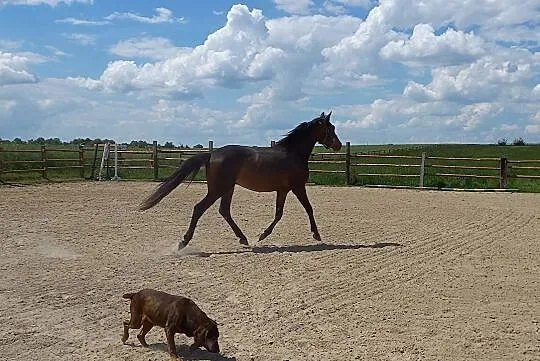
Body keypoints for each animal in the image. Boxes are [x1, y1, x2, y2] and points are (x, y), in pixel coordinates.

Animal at [139, 111, 342, 249]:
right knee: (199, 208)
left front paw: (262, 235)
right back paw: (184, 242)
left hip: (228, 188)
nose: (339, 145)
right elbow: (308, 208)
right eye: (330, 128)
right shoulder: (298, 187)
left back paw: (243, 239)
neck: (293, 153)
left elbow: (279, 214)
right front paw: (316, 235)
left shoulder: (283, 190)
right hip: (218, 189)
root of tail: (212, 154)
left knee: (224, 211)